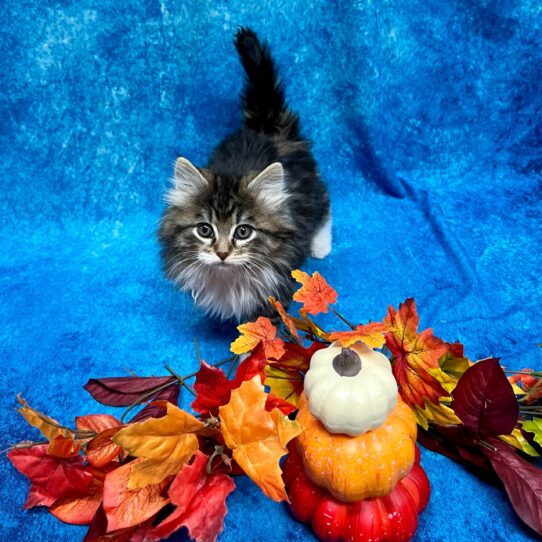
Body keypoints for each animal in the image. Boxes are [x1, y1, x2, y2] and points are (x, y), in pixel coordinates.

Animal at [158, 27, 332, 320]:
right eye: (205, 230)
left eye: (243, 232)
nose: (222, 253)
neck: (229, 276)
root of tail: (265, 127)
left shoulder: (277, 285)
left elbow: (267, 323)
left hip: (311, 189)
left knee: (325, 200)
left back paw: (320, 245)